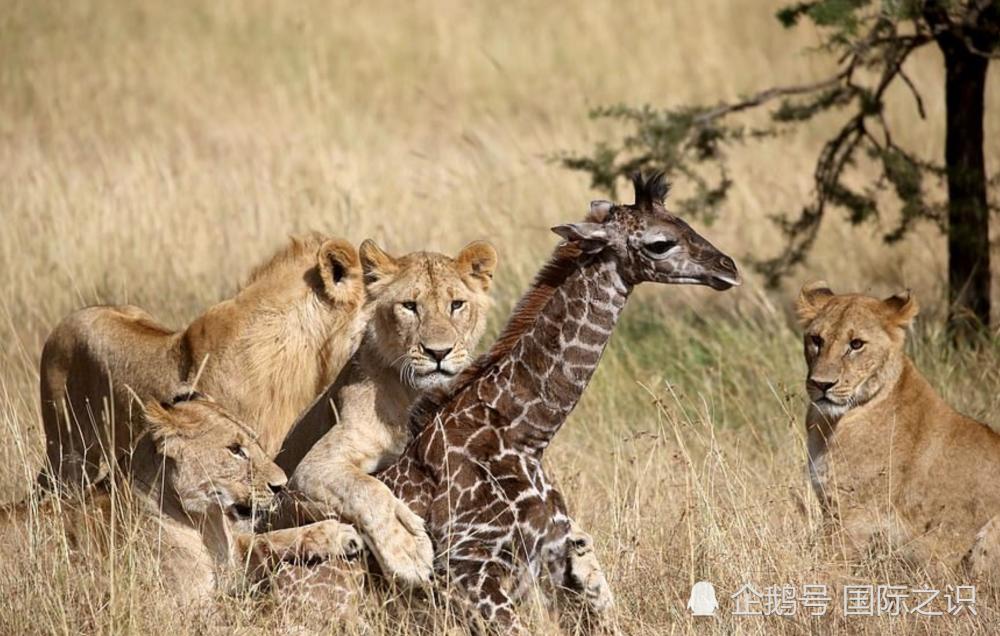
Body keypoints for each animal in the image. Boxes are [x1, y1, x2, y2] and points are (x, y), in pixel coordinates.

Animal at [3, 396, 364, 608]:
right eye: (235, 449)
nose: (281, 485)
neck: (205, 523)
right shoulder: (180, 606)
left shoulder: (232, 557)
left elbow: (269, 540)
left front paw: (338, 534)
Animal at [796, 284, 1000, 572]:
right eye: (816, 339)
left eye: (856, 344)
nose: (821, 384)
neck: (831, 423)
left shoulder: (855, 514)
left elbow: (828, 562)